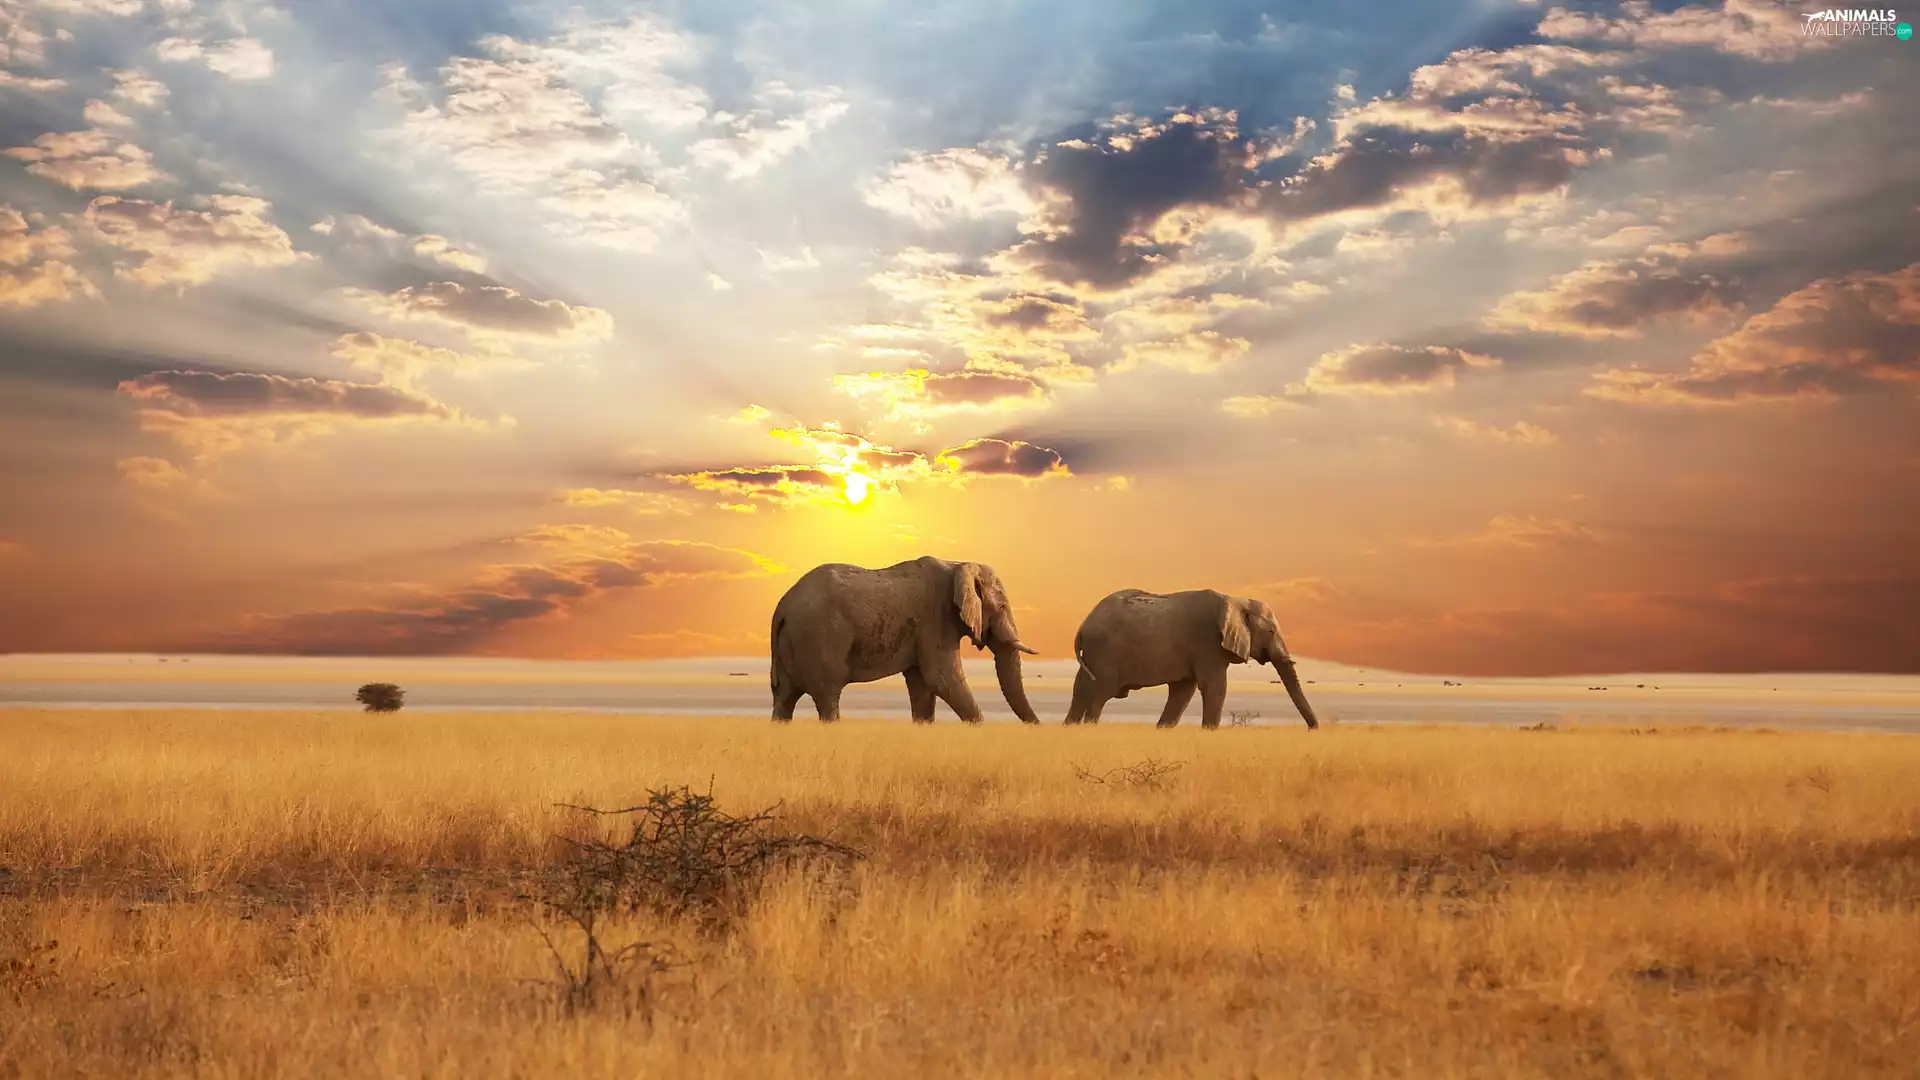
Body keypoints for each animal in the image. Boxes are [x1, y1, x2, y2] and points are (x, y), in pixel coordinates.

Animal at [769, 556, 1041, 724]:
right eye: (1002, 606)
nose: (1038, 727)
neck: (958, 564)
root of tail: (782, 607)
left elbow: (922, 685)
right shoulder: (936, 619)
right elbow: (942, 678)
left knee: (784, 697)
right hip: (819, 638)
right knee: (828, 695)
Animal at [1063, 588, 1320, 730]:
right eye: (1271, 632)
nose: (1313, 729)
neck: (1235, 600)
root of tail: (1082, 627)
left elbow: (1183, 691)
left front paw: (1163, 730)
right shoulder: (1207, 642)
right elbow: (1214, 686)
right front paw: (1210, 732)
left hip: (1095, 653)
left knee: (1081, 688)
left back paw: (1070, 727)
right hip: (1106, 652)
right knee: (1100, 693)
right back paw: (1089, 727)